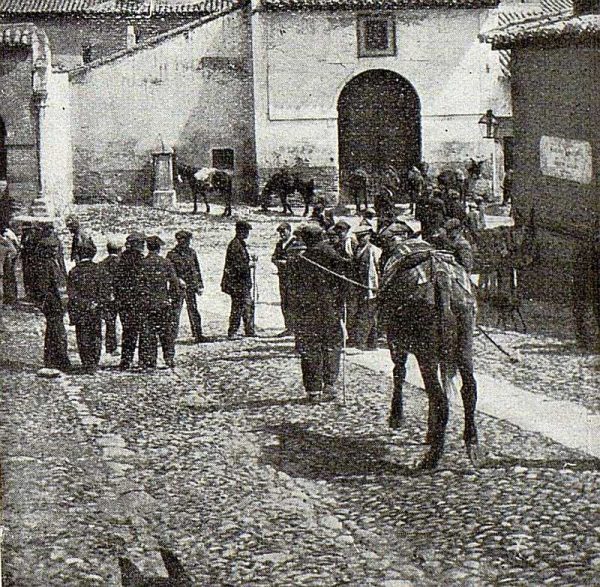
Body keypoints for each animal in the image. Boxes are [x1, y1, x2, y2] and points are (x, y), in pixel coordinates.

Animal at [380, 234, 478, 468]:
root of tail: (442, 279)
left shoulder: (395, 341)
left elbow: (399, 372)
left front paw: (396, 417)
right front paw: (430, 432)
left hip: (425, 352)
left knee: (439, 396)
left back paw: (432, 457)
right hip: (464, 344)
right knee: (468, 389)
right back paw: (471, 444)